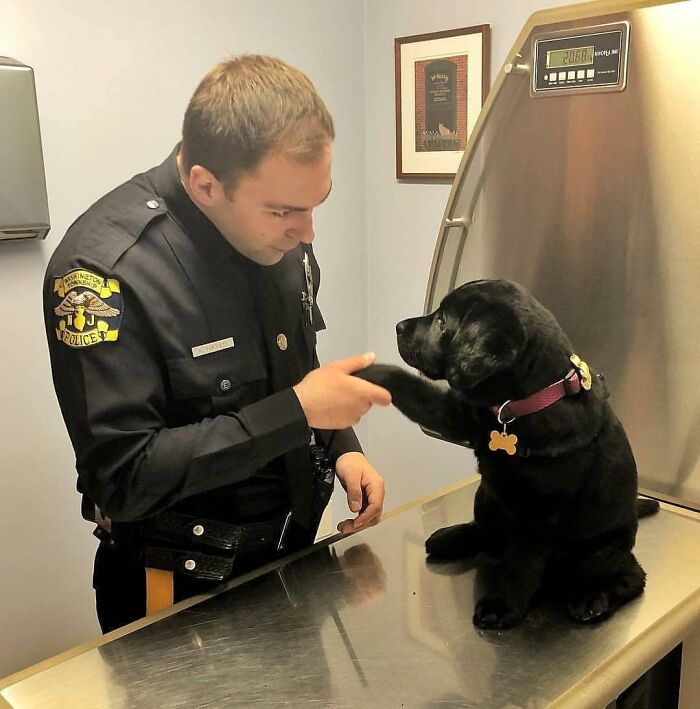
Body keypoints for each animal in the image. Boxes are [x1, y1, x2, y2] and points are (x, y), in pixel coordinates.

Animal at [358, 280, 660, 628]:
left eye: (443, 322)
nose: (398, 326)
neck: (517, 406)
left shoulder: (536, 517)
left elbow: (520, 565)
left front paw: (501, 605)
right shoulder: (456, 414)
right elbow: (408, 386)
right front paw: (361, 373)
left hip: (598, 552)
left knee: (631, 576)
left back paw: (594, 598)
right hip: (487, 497)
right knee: (487, 533)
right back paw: (452, 537)